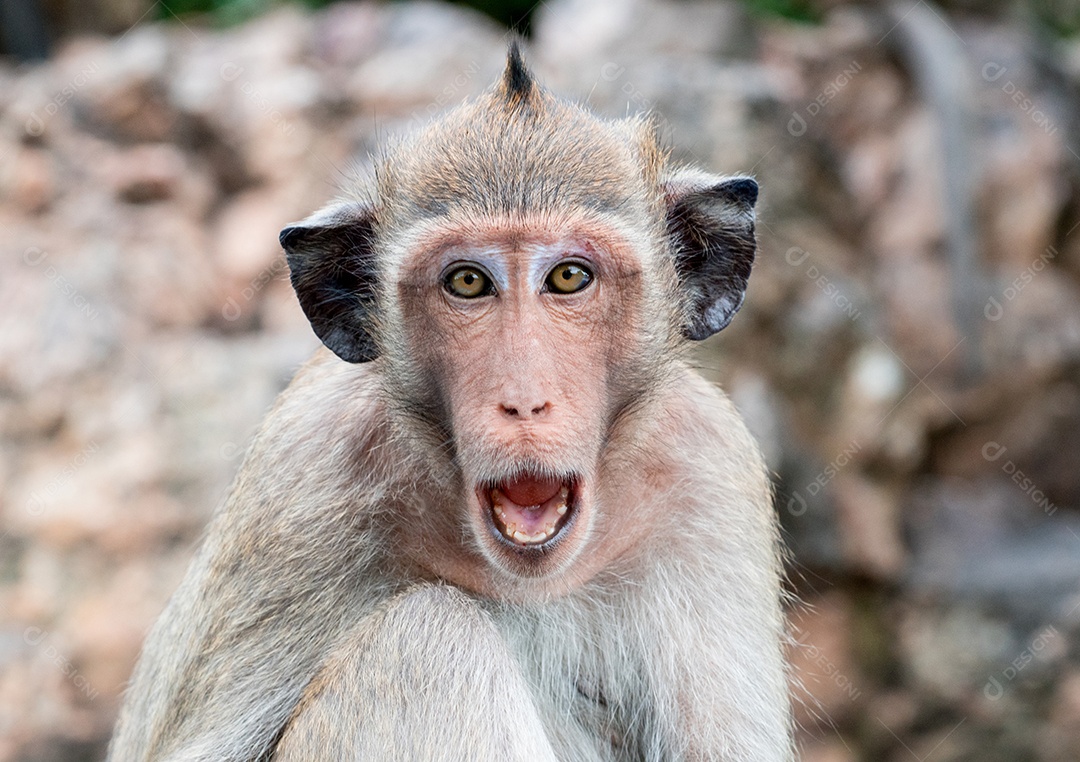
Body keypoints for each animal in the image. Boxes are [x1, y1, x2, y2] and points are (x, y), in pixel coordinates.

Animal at [107, 44, 794, 761]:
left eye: (569, 277)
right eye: (467, 282)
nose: (523, 400)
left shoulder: (708, 472)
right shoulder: (303, 474)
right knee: (433, 634)